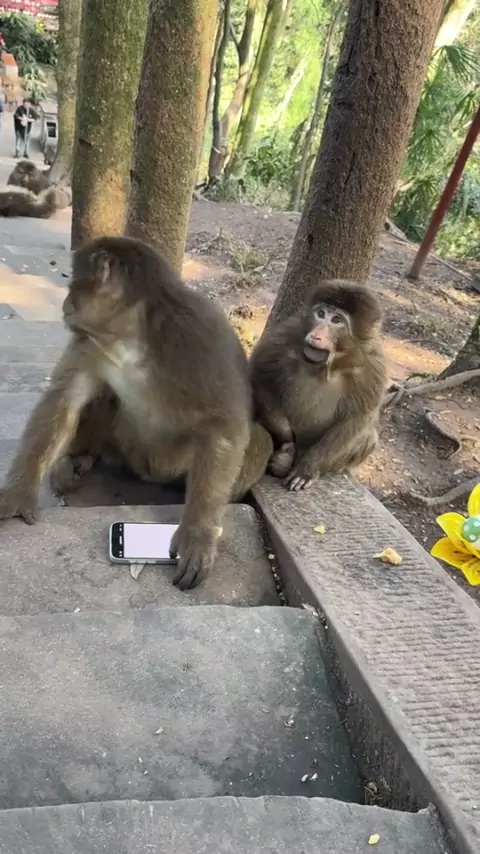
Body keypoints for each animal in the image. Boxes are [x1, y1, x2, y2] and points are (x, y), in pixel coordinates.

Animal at [0, 235, 272, 589]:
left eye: (73, 284)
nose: (65, 304)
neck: (132, 335)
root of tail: (146, 472)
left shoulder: (199, 334)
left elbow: (225, 424)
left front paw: (198, 533)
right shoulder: (89, 342)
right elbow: (65, 397)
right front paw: (18, 494)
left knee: (258, 440)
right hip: (122, 448)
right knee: (104, 396)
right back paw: (79, 459)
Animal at [250, 280, 387, 491]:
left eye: (337, 320)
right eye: (321, 314)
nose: (316, 335)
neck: (331, 363)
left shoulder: (373, 366)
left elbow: (357, 418)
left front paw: (308, 468)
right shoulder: (286, 335)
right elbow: (260, 376)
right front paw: (287, 440)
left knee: (368, 438)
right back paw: (282, 460)